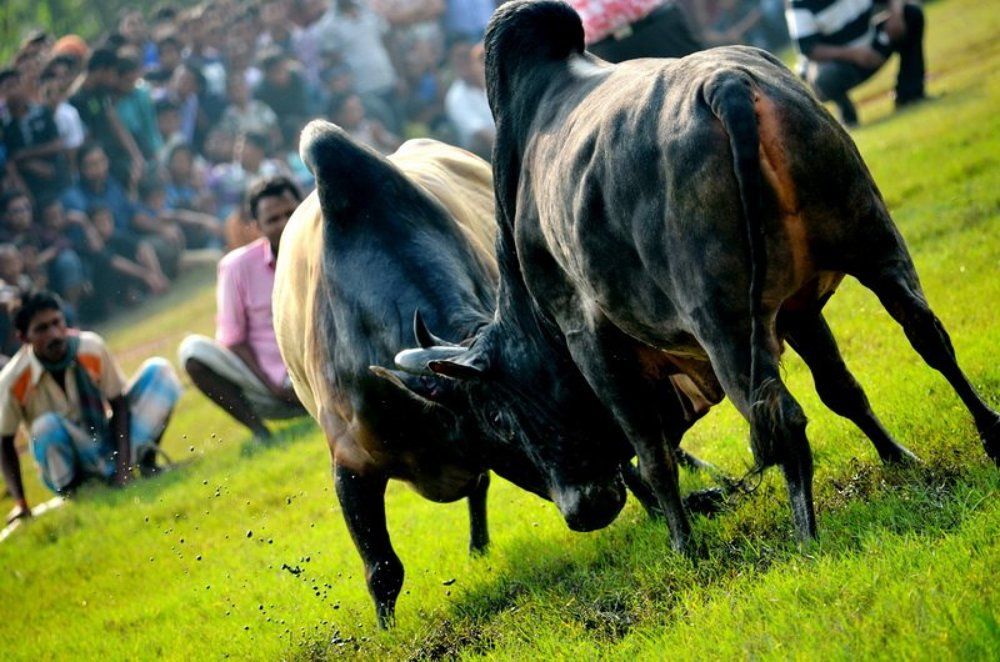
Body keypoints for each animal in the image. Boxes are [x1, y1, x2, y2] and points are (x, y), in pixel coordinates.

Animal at [391, 0, 1000, 554]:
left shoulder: (588, 337)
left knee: (779, 416)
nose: (582, 511)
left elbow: (652, 453)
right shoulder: (798, 309)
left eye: (497, 413)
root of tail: (727, 85)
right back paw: (990, 436)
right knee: (928, 337)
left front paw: (684, 549)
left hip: (724, 323)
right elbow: (842, 389)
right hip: (873, 243)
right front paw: (898, 459)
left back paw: (806, 540)